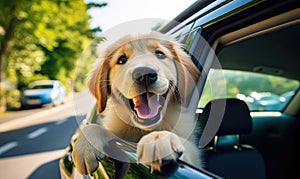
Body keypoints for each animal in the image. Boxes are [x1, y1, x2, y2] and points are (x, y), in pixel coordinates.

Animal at [71, 31, 200, 176]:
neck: (142, 130)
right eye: (122, 59)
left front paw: (158, 138)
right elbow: (97, 128)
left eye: (160, 54)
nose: (144, 74)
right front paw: (85, 145)